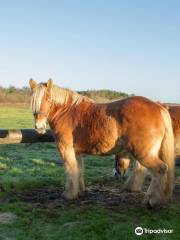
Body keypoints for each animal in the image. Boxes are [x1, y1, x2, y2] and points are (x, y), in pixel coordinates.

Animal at [29, 78, 174, 206]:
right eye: (33, 101)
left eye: (48, 99)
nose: (39, 126)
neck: (67, 112)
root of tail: (158, 107)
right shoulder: (76, 152)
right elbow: (78, 170)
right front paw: (79, 192)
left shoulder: (66, 149)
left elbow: (70, 170)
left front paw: (69, 195)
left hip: (143, 153)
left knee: (160, 169)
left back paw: (152, 201)